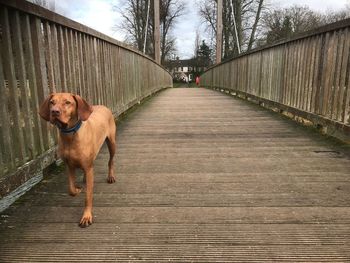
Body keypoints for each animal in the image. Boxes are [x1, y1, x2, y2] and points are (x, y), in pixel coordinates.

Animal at [39, 94, 116, 228]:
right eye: (52, 102)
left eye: (67, 102)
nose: (54, 111)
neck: (70, 135)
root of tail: (103, 106)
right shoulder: (69, 165)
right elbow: (71, 189)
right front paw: (77, 189)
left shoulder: (89, 167)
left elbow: (88, 196)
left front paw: (86, 216)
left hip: (112, 143)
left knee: (110, 161)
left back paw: (110, 176)